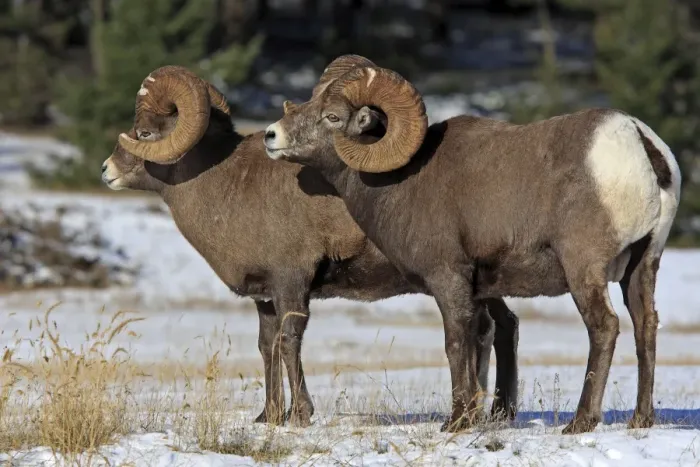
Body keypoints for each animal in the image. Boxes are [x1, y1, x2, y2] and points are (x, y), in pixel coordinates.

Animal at [103, 64, 522, 427]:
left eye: (143, 134)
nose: (106, 171)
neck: (225, 185)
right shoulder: (266, 297)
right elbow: (267, 346)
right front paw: (268, 417)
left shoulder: (291, 283)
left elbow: (289, 342)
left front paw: (300, 416)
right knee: (501, 326)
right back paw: (496, 412)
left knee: (485, 329)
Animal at [263, 55, 682, 434]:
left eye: (332, 117)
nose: (271, 136)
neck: (399, 183)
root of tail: (638, 142)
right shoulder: (479, 290)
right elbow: (479, 340)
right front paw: (473, 417)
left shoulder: (447, 279)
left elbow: (455, 343)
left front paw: (456, 421)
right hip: (642, 266)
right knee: (645, 325)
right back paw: (640, 419)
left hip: (584, 271)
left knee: (604, 327)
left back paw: (580, 422)